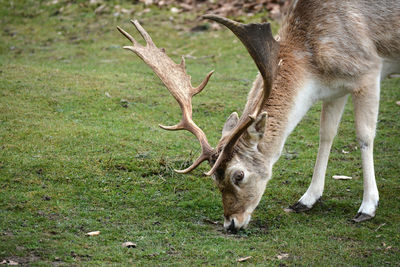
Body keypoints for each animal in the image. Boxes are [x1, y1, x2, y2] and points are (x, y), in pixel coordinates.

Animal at [118, 0, 400, 233]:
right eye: (215, 179)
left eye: (238, 175)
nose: (231, 223)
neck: (314, 69)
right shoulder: (335, 90)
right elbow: (326, 136)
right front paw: (307, 199)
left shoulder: (367, 71)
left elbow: (364, 137)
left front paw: (367, 207)